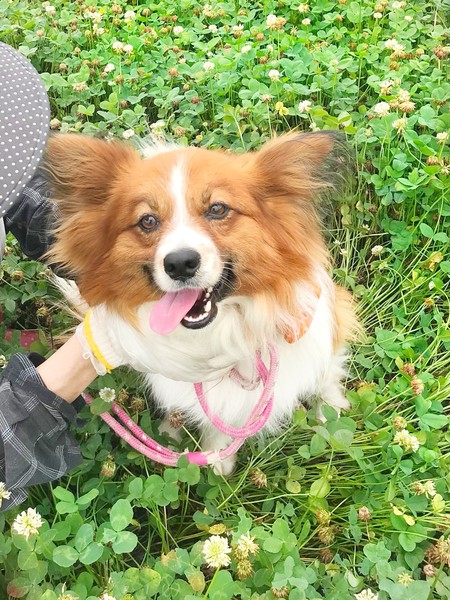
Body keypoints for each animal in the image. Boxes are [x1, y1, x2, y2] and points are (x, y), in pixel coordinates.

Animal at [45, 131, 356, 475]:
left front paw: (332, 407)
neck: (229, 324)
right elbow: (216, 422)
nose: (180, 263)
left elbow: (326, 374)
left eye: (218, 209)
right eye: (147, 221)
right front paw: (216, 457)